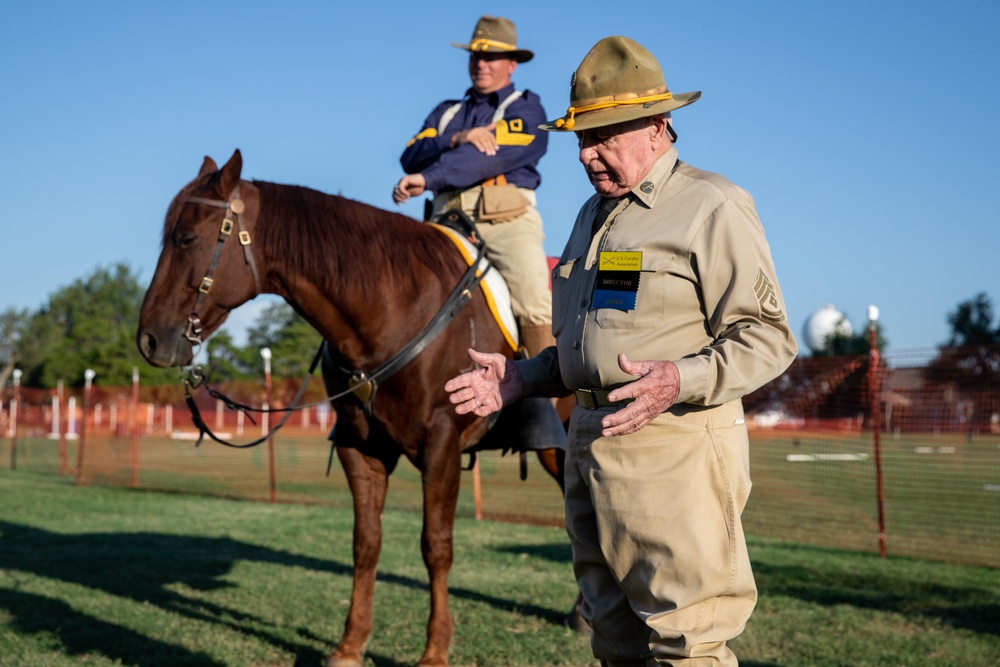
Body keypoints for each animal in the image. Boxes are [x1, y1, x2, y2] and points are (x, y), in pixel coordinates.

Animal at [136, 151, 576, 667]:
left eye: (186, 238)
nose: (149, 338)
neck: (394, 305)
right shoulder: (359, 448)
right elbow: (366, 543)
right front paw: (350, 643)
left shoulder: (442, 446)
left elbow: (436, 546)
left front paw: (435, 649)